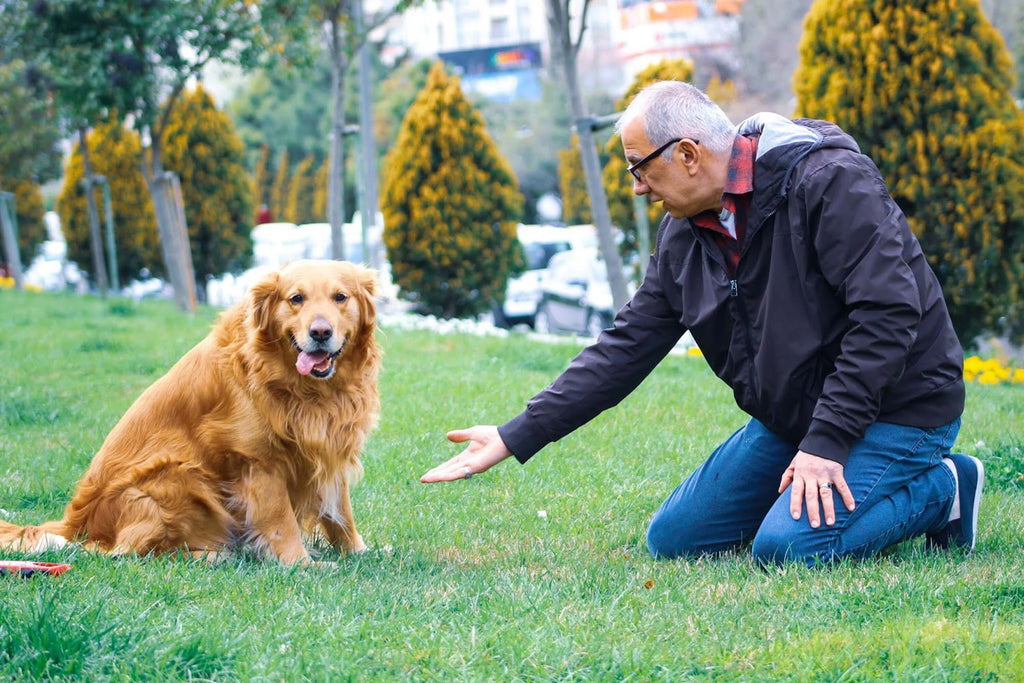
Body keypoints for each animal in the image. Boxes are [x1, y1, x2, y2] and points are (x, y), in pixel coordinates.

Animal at [0, 259, 380, 565]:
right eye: (296, 298)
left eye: (340, 297)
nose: (320, 332)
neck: (304, 388)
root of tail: (74, 525)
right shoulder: (259, 462)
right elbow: (279, 521)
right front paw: (300, 564)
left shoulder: (330, 448)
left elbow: (341, 514)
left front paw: (359, 552)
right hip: (178, 474)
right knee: (131, 553)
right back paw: (213, 555)